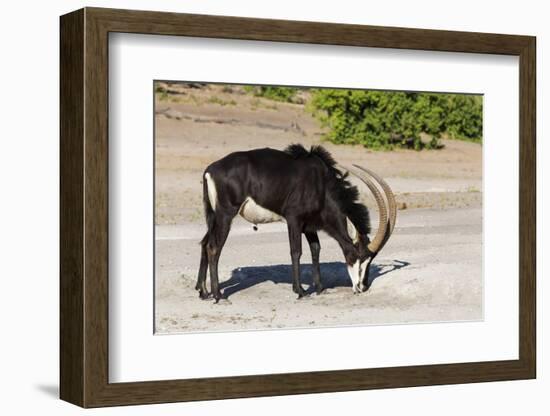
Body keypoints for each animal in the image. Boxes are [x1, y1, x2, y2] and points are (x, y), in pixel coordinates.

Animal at [197, 145, 396, 300]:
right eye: (358, 256)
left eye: (370, 260)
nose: (362, 287)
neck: (321, 184)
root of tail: (210, 170)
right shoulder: (294, 219)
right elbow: (296, 251)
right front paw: (300, 290)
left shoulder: (309, 225)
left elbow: (315, 249)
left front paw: (320, 288)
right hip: (225, 215)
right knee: (213, 247)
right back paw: (218, 295)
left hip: (214, 217)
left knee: (205, 243)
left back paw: (203, 291)